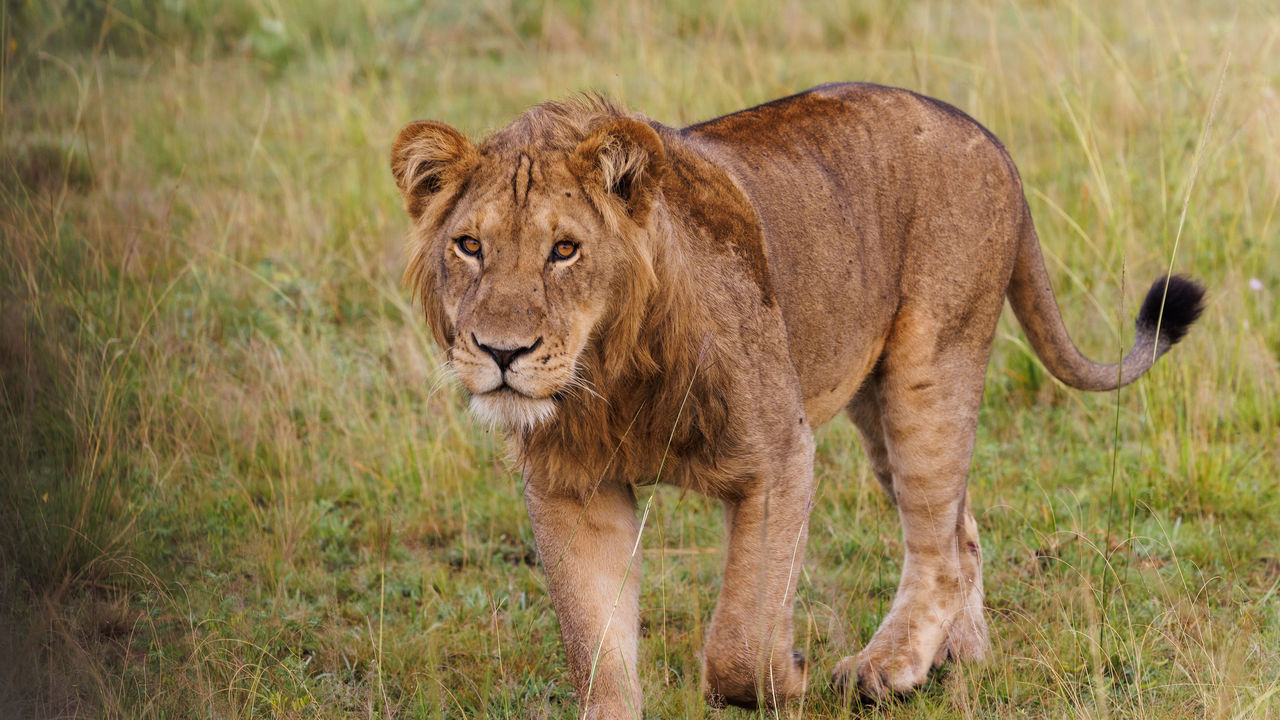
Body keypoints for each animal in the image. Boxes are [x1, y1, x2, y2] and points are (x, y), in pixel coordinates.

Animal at [386, 82, 1198, 712]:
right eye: (469, 246)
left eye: (564, 250)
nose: (502, 353)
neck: (608, 379)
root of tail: (985, 134)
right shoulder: (573, 487)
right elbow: (599, 655)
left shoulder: (777, 456)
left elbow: (740, 642)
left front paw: (790, 674)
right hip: (877, 401)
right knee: (959, 531)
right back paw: (957, 656)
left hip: (929, 370)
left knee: (936, 547)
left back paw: (885, 670)